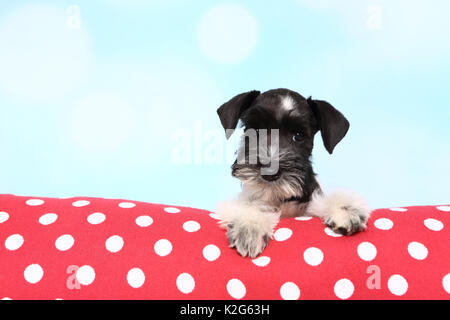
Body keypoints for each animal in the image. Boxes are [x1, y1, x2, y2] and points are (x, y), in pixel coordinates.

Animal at [216, 87, 370, 258]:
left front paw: (346, 209)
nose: (269, 172)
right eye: (255, 131)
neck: (280, 198)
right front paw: (250, 227)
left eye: (298, 136)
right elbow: (251, 205)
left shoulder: (305, 209)